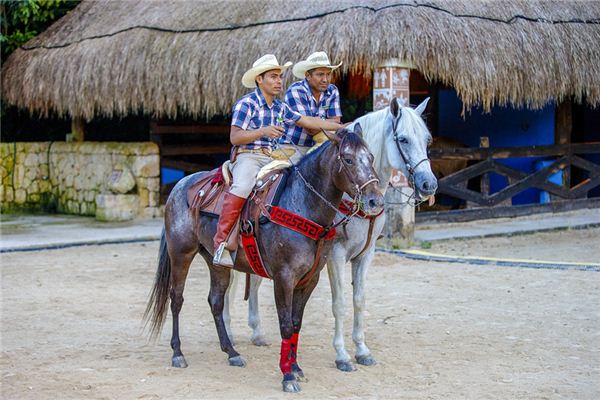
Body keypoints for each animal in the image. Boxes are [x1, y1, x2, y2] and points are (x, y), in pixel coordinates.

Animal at [143, 126, 382, 392]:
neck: (301, 204)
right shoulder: (284, 278)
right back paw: (178, 353)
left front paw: (295, 368)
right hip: (181, 254)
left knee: (215, 301)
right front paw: (287, 376)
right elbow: (285, 324)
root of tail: (179, 186)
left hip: (218, 264)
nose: (375, 201)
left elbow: (295, 324)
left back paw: (232, 352)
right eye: (348, 159)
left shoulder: (309, 280)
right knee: (176, 299)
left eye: (371, 158)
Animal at [223, 97, 438, 372]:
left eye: (427, 139)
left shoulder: (366, 254)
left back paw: (257, 332)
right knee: (230, 283)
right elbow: (340, 304)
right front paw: (342, 355)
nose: (428, 184)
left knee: (256, 278)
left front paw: (362, 350)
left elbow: (359, 300)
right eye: (403, 139)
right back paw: (229, 334)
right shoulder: (335, 255)